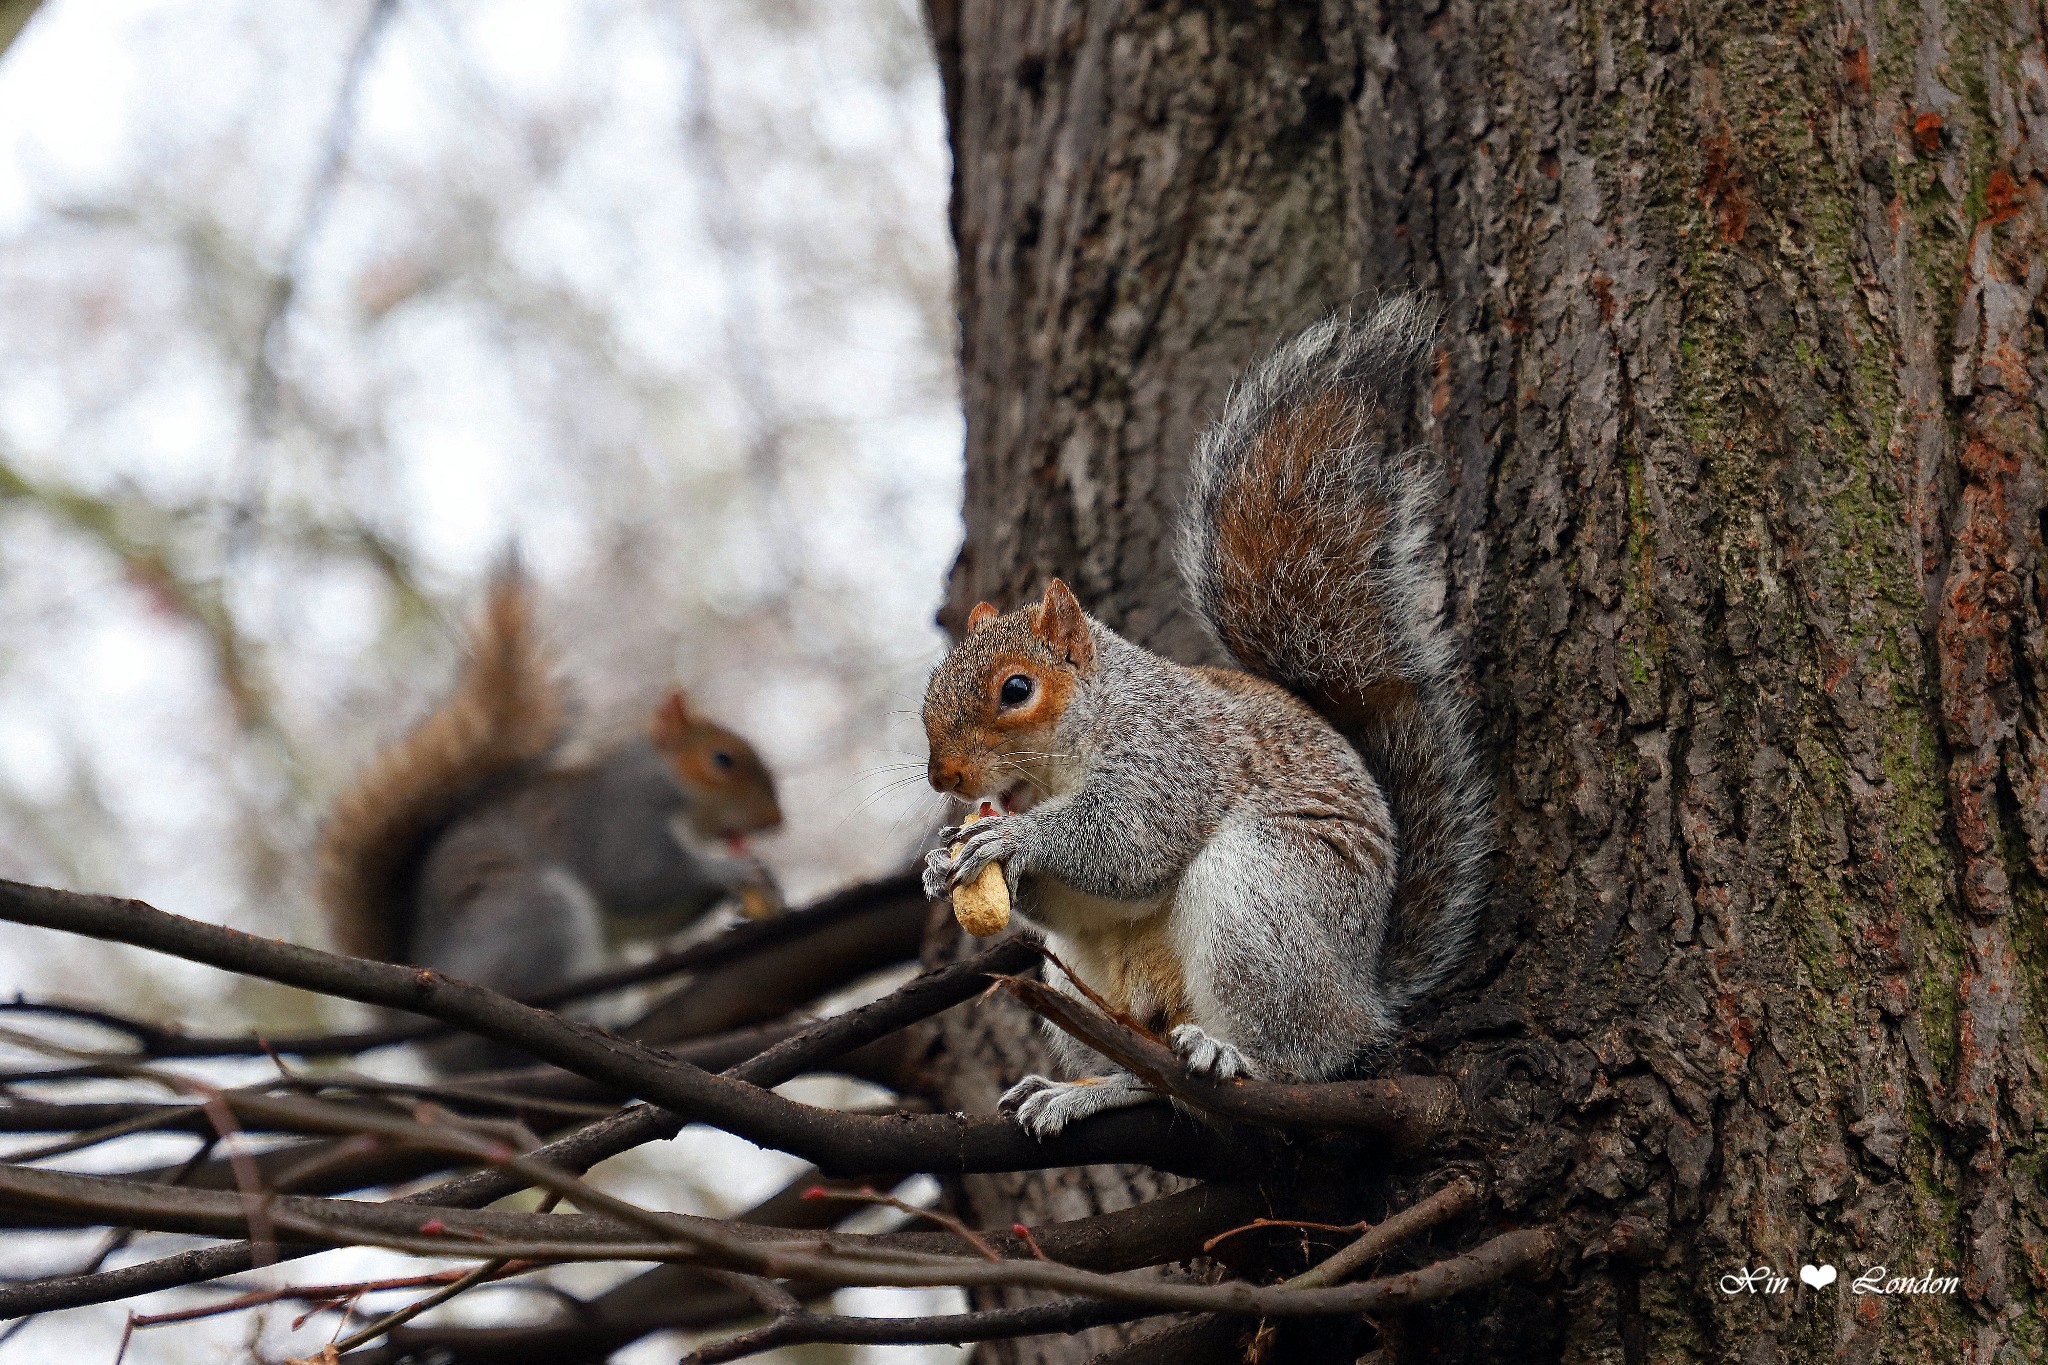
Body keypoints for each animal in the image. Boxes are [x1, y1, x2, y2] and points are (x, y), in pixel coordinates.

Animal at [925, 298, 1490, 1146]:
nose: (944, 778)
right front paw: (940, 861)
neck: (1062, 761)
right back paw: (1089, 1088)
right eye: (930, 684)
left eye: (1016, 689)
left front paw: (1011, 840)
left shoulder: (1172, 756)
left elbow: (1127, 843)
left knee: (1296, 1057)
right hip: (1086, 980)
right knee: (1150, 1077)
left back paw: (1234, 1053)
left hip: (1261, 900)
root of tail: (1364, 998)